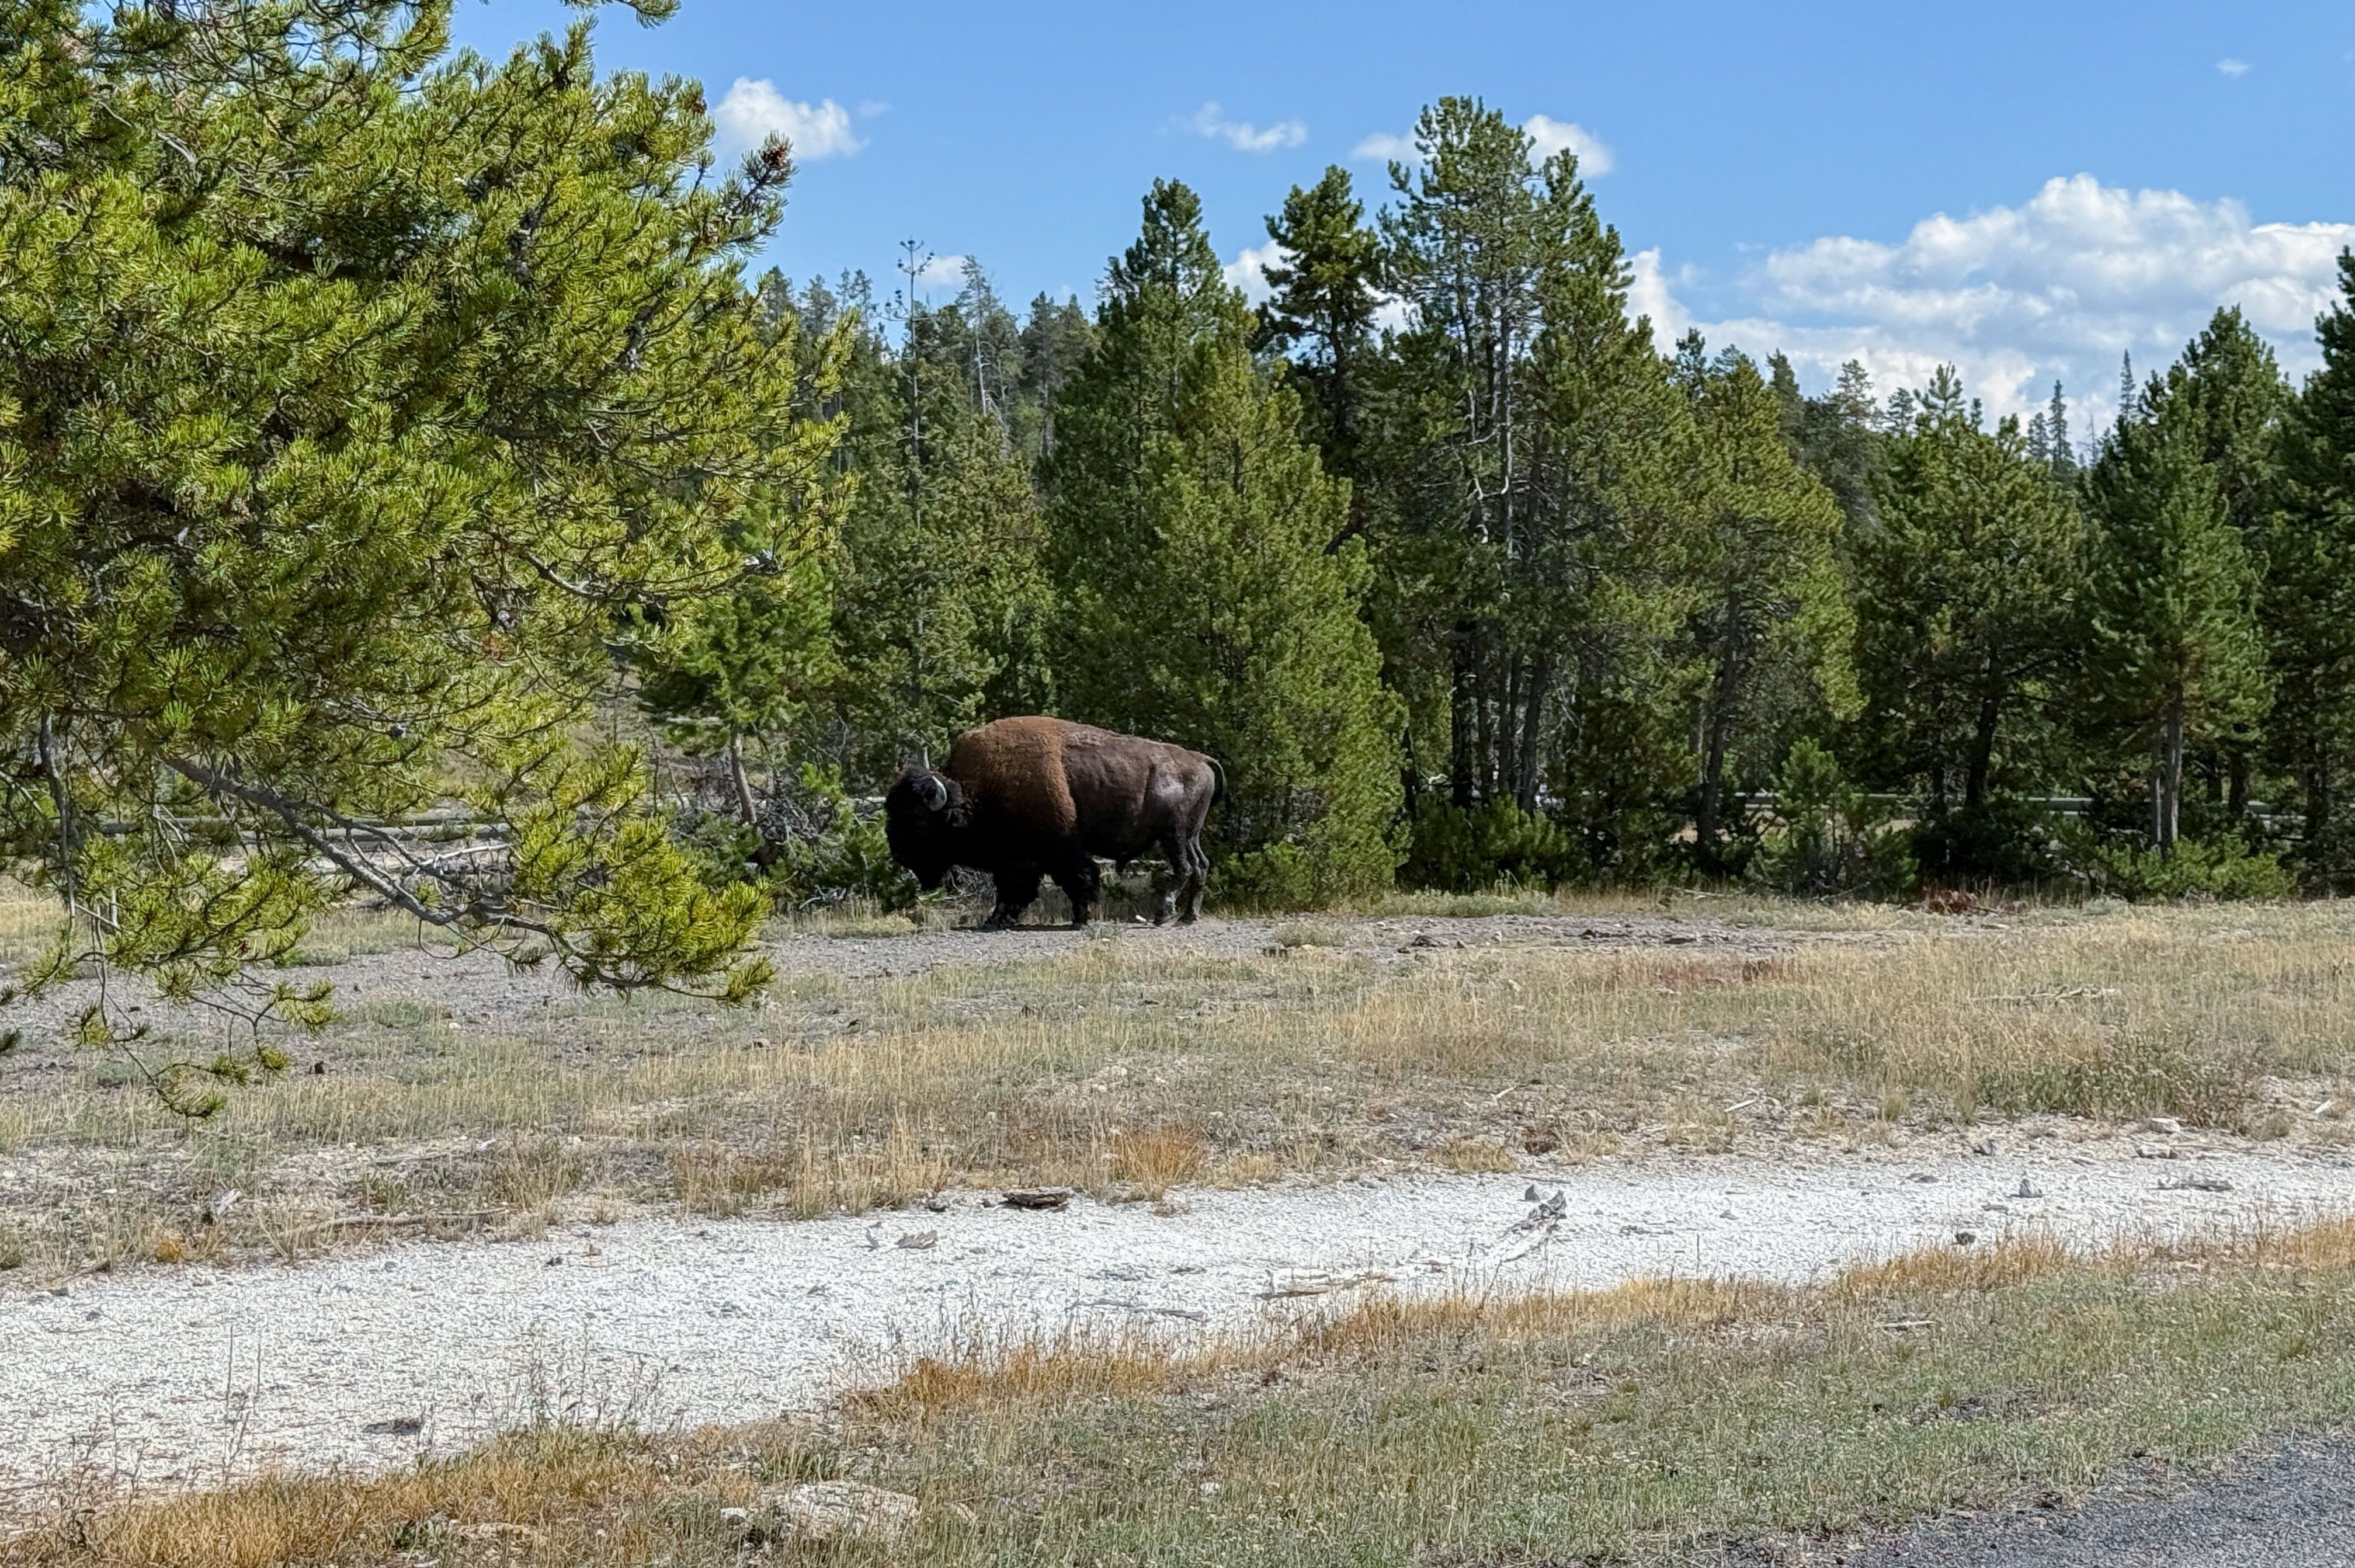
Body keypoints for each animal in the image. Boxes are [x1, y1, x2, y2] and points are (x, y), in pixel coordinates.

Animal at [884, 717, 1223, 927]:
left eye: (917, 820)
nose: (899, 854)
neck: (978, 790)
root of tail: (1200, 758)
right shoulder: (1012, 861)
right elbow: (1011, 890)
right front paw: (996, 919)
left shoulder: (1059, 850)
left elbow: (1077, 879)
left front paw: (1080, 918)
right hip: (1190, 836)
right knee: (1201, 865)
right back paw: (1188, 917)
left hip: (1173, 835)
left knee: (1184, 868)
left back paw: (1163, 915)